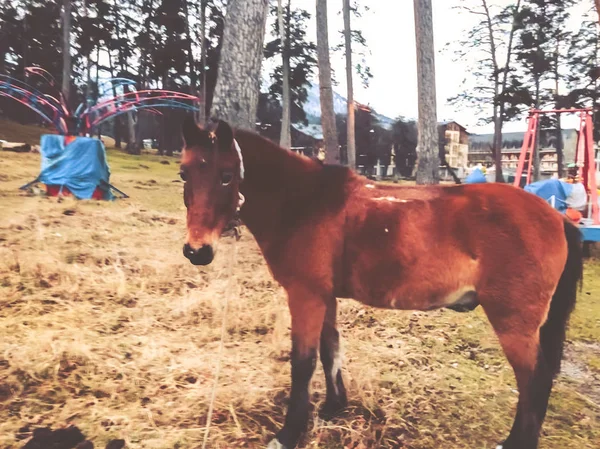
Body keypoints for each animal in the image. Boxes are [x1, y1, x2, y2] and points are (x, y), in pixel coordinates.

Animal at [179, 117, 580, 446]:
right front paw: (333, 407)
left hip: (514, 325)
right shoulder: (324, 297)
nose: (197, 251)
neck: (304, 203)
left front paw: (290, 433)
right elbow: (330, 350)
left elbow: (303, 362)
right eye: (184, 174)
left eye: (227, 175)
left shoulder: (306, 297)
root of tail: (556, 218)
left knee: (534, 381)